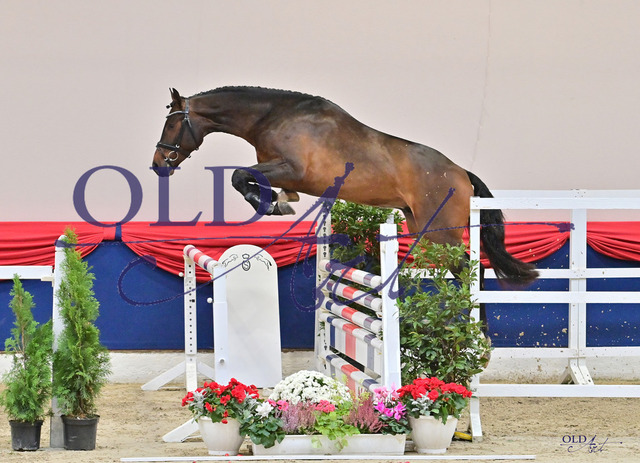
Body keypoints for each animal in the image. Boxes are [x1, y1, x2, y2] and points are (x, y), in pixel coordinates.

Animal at [152, 86, 538, 287]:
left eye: (171, 125)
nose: (157, 164)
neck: (273, 117)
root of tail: (461, 172)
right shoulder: (289, 175)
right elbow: (250, 178)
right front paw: (279, 202)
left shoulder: (293, 170)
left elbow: (238, 176)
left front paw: (270, 203)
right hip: (420, 227)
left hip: (443, 233)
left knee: (472, 270)